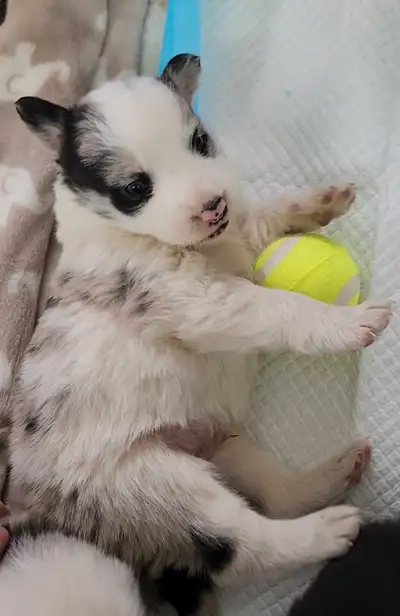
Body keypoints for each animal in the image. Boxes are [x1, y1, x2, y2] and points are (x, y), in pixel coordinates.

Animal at [2, 54, 390, 616]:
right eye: (135, 189)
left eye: (201, 142)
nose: (213, 205)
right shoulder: (200, 300)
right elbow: (279, 307)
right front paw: (346, 323)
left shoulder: (238, 236)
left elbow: (260, 217)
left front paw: (319, 201)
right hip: (160, 491)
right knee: (241, 548)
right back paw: (327, 532)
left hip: (220, 444)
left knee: (274, 491)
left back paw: (332, 476)